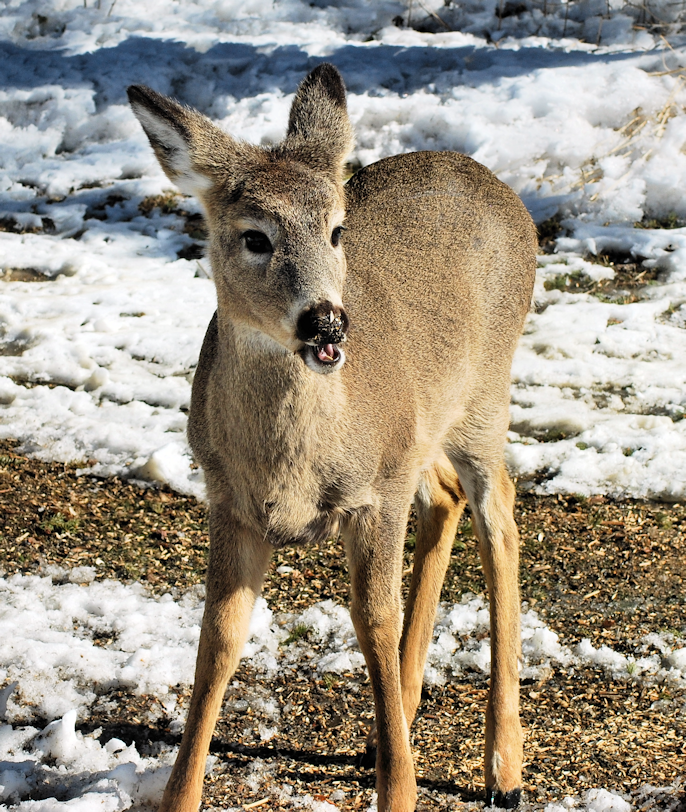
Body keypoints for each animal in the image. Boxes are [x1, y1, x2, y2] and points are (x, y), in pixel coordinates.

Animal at [128, 63, 537, 812]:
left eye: (338, 230)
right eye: (254, 236)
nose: (326, 321)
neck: (293, 464)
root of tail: (491, 181)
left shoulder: (375, 495)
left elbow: (372, 620)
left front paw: (399, 791)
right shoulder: (228, 499)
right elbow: (219, 638)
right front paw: (180, 795)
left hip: (485, 397)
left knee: (500, 515)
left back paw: (504, 769)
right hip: (422, 433)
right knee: (444, 498)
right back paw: (400, 715)